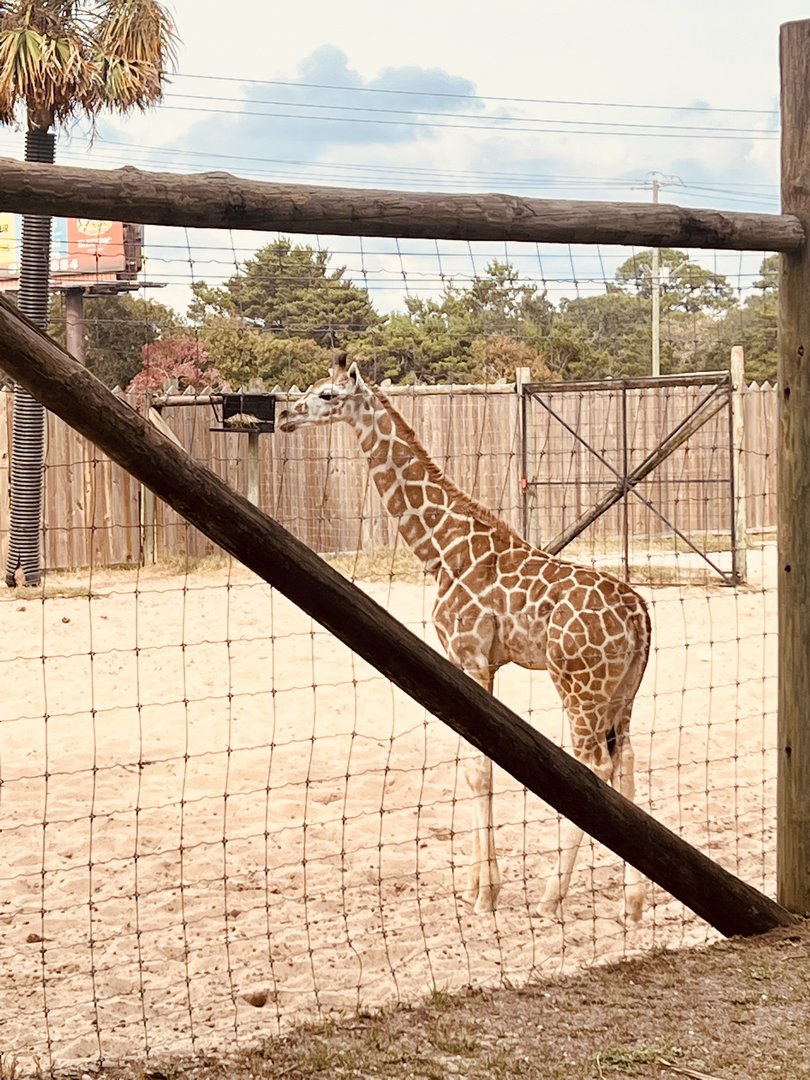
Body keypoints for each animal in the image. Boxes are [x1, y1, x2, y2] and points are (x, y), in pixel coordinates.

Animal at [278, 355, 651, 920]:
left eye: (326, 394)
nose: (284, 416)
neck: (442, 549)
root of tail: (639, 615)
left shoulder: (471, 657)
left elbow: (478, 771)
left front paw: (484, 894)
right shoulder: (477, 664)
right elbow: (477, 768)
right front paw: (479, 884)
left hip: (579, 685)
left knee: (597, 768)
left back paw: (551, 897)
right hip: (621, 693)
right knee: (626, 761)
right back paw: (632, 902)